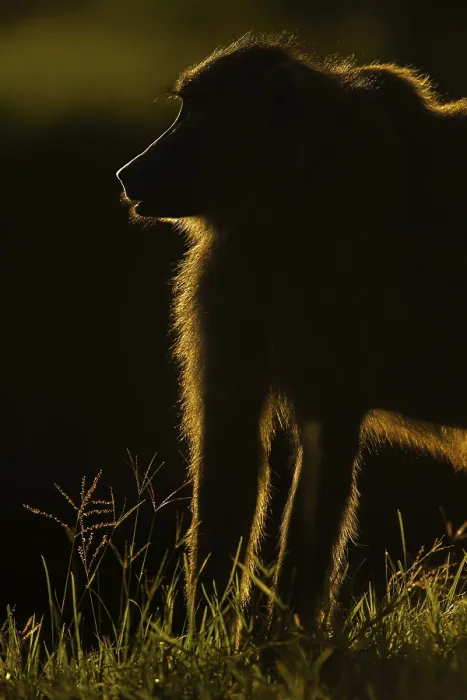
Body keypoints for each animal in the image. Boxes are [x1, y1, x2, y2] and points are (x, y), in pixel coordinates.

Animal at [116, 32, 467, 630]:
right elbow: (232, 448)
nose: (129, 172)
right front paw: (206, 638)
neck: (297, 182)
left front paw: (281, 642)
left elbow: (316, 454)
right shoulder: (232, 274)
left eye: (194, 113)